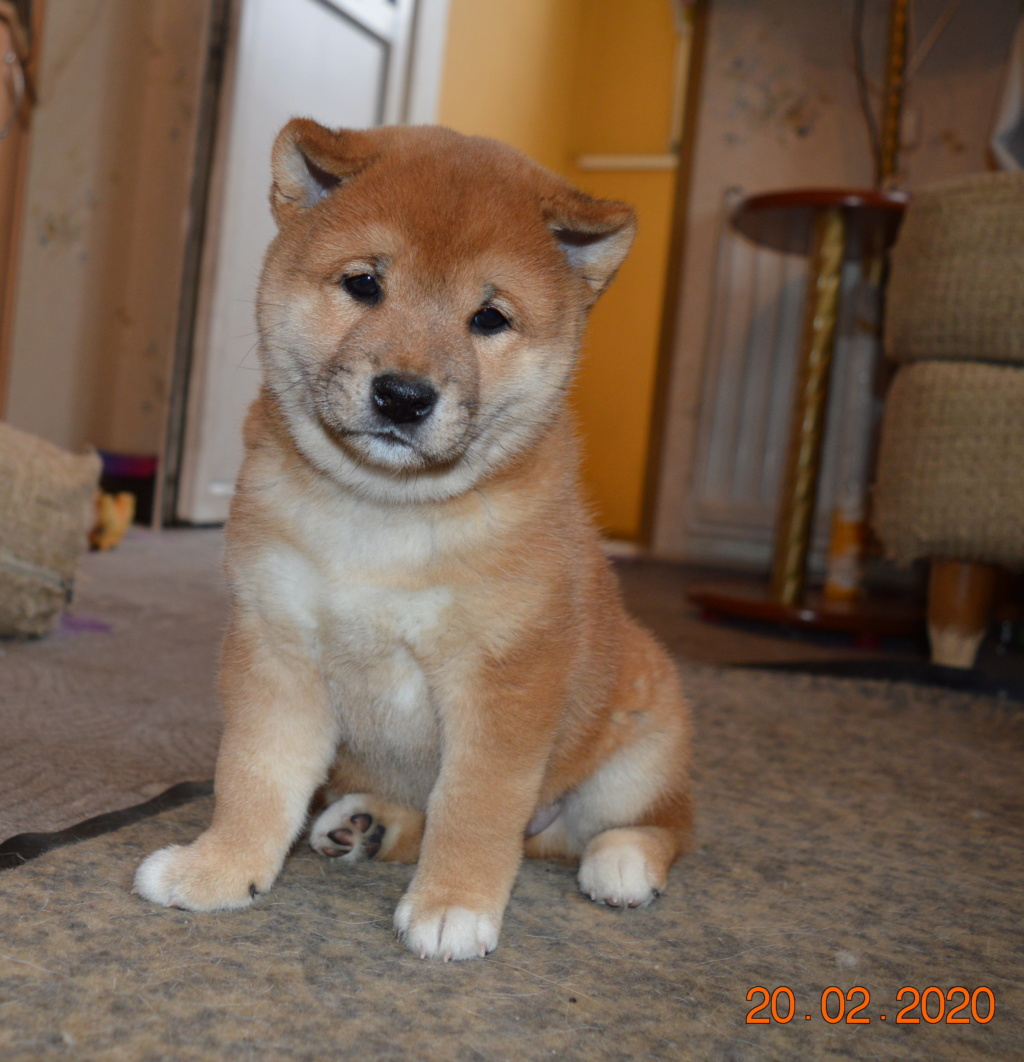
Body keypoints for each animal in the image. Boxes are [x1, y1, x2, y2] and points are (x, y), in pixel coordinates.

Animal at [133, 118, 696, 964]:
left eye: (489, 318)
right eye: (365, 284)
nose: (403, 396)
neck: (385, 516)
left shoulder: (505, 680)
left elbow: (475, 806)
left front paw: (455, 904)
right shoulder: (275, 649)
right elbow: (255, 777)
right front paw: (221, 869)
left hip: (639, 744)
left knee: (654, 824)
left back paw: (621, 862)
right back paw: (365, 825)